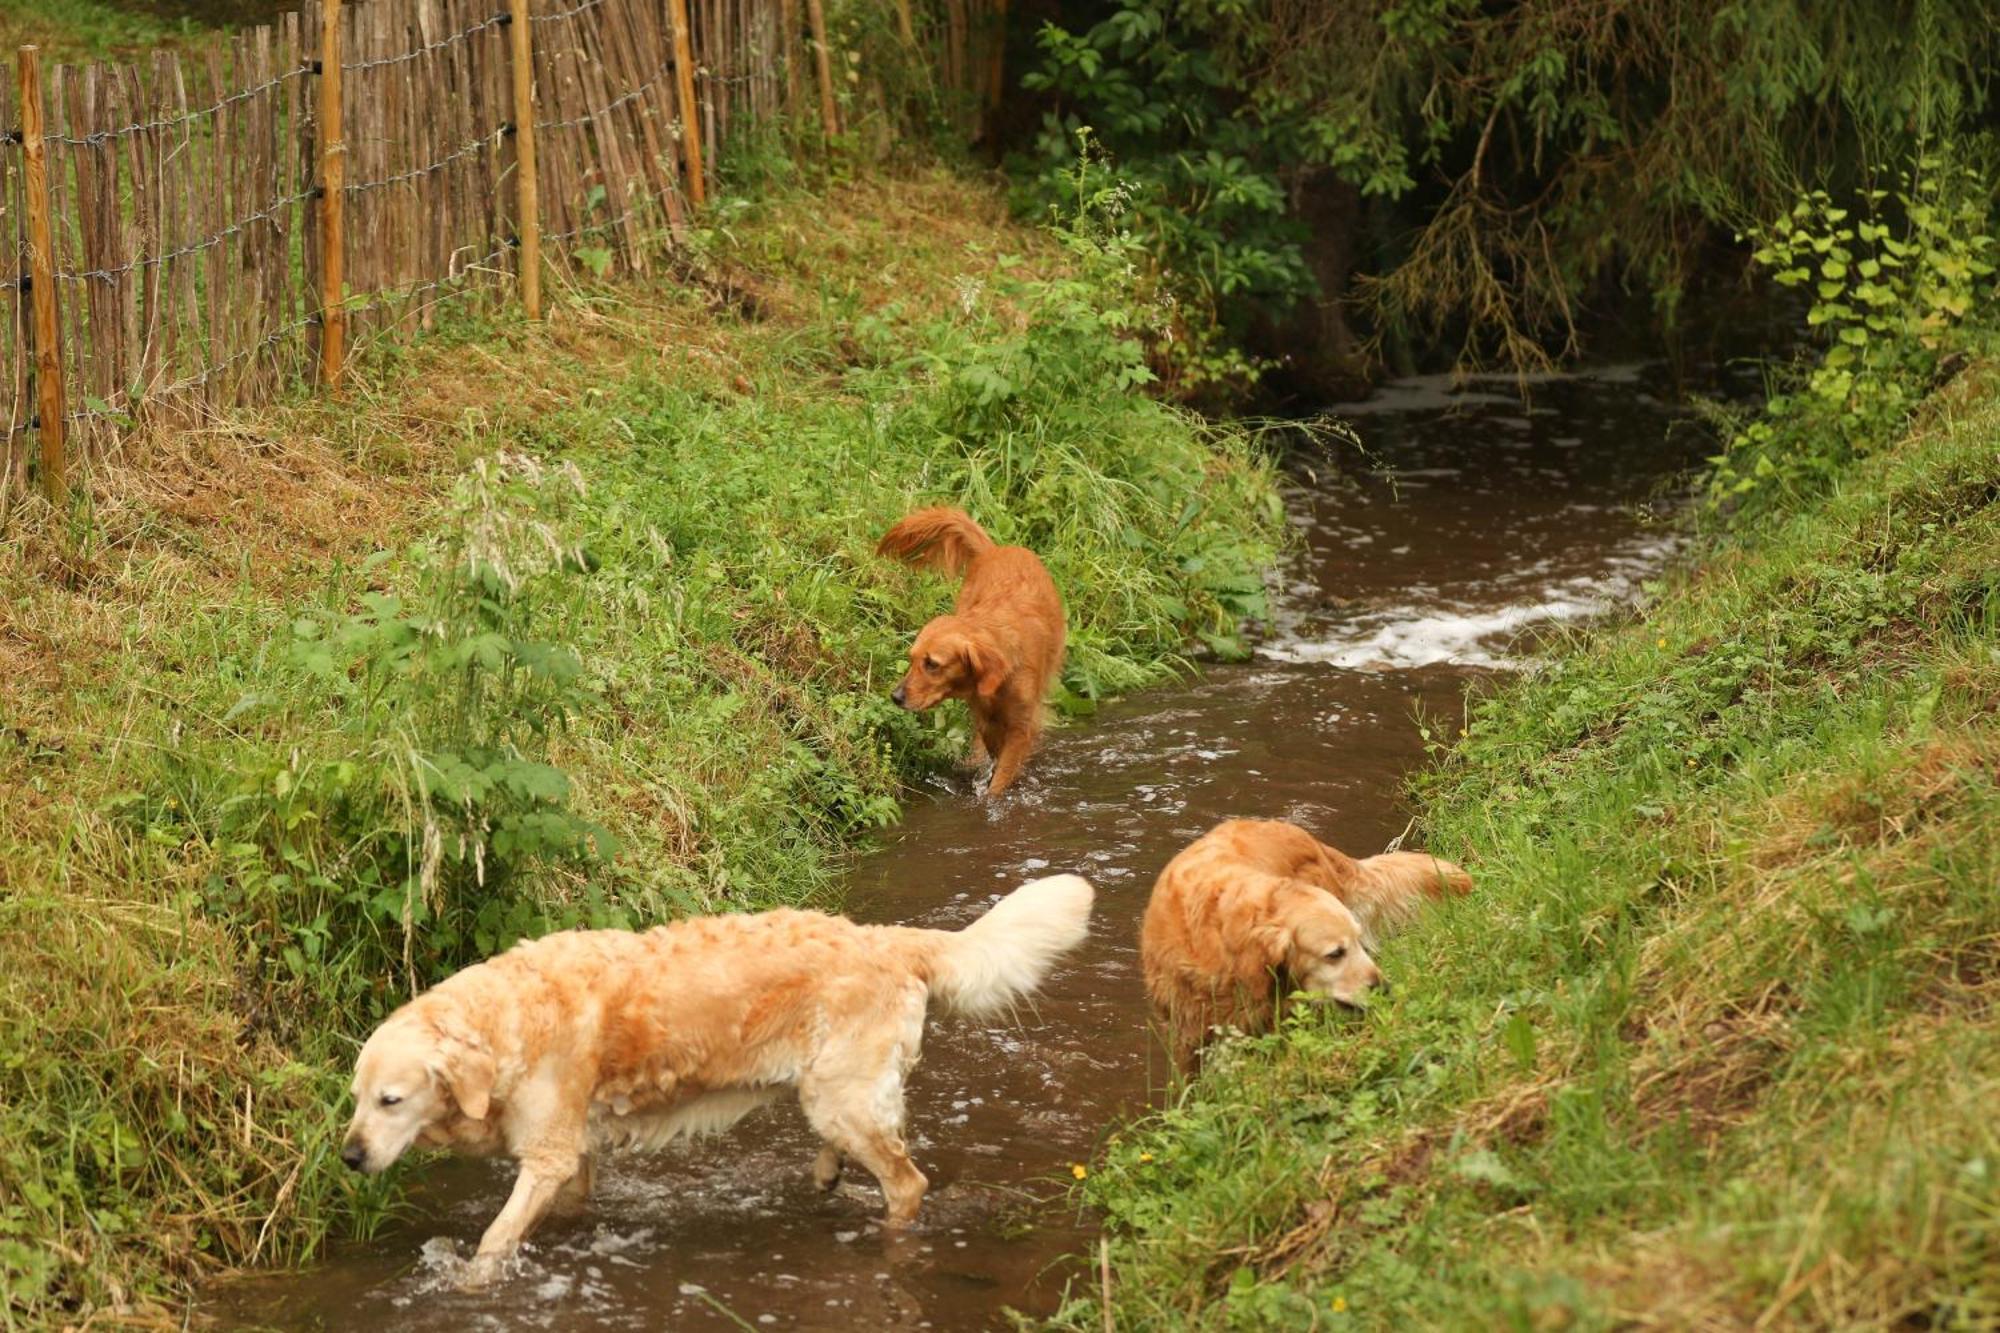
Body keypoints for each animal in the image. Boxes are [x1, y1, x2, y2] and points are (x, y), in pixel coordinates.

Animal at [344, 872, 1096, 1280]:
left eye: (391, 1099)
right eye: (354, 1098)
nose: (348, 1157)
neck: (507, 1023)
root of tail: (886, 936)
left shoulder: (549, 1152)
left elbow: (497, 1236)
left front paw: (469, 1284)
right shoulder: (573, 1151)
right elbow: (564, 1207)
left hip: (844, 1095)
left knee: (908, 1183)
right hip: (832, 1091)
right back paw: (827, 1172)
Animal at [876, 504, 1064, 792]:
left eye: (932, 664)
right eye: (911, 659)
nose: (895, 697)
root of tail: (995, 549)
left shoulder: (1021, 726)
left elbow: (1000, 778)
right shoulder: (986, 718)